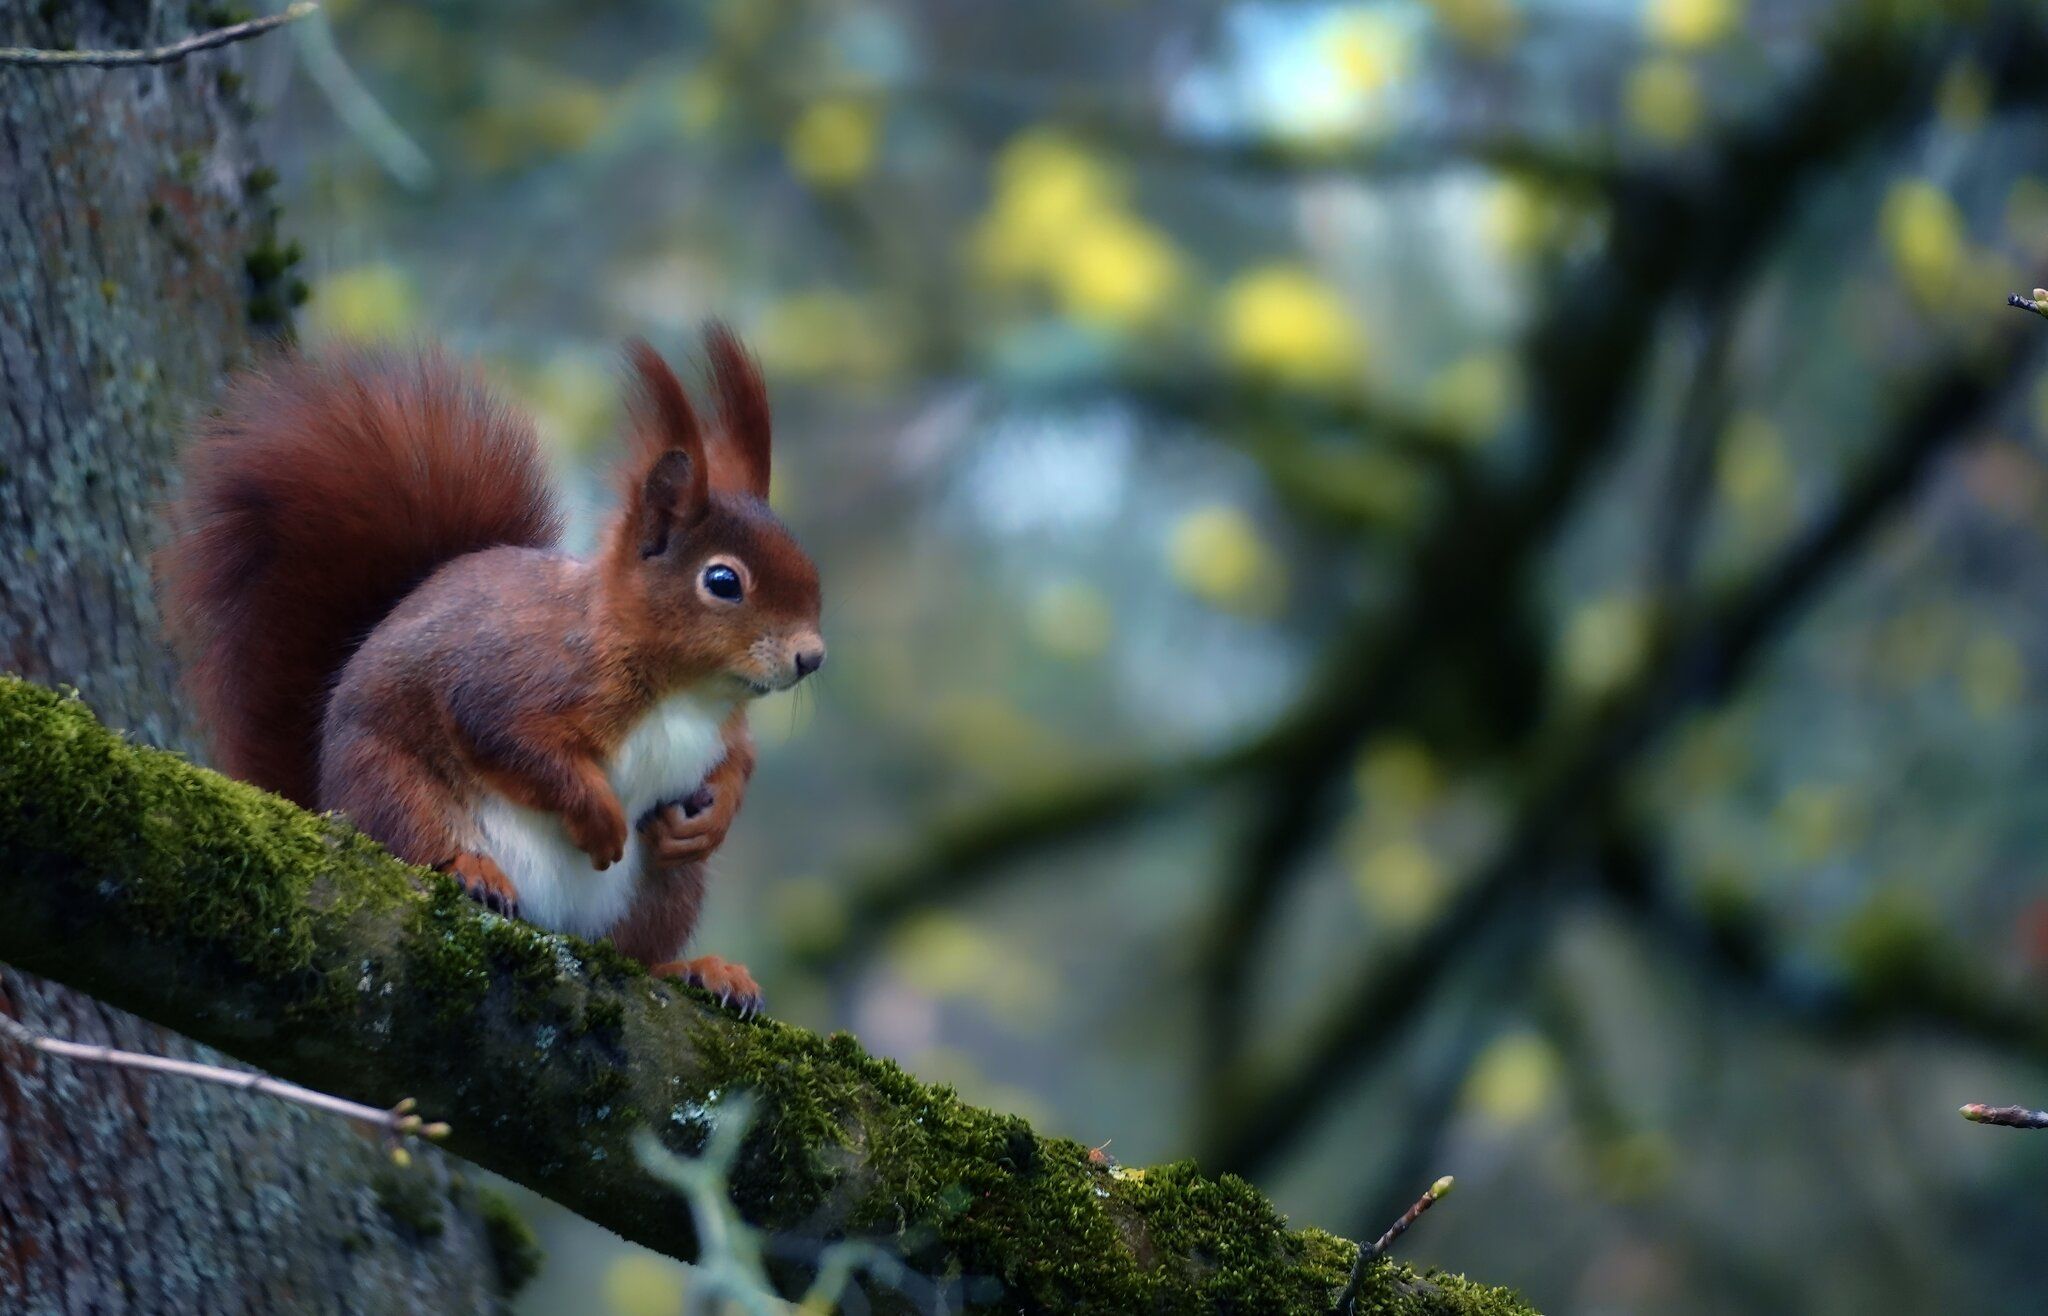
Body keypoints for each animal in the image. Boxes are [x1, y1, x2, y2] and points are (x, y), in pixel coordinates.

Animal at [159, 325, 823, 1017]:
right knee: (417, 842)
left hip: (661, 892)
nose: (811, 656)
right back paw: (470, 870)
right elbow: (514, 742)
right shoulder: (516, 675)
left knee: (639, 953)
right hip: (391, 787)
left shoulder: (723, 727)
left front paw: (715, 815)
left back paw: (698, 969)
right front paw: (601, 817)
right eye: (722, 581)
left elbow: (738, 760)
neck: (686, 693)